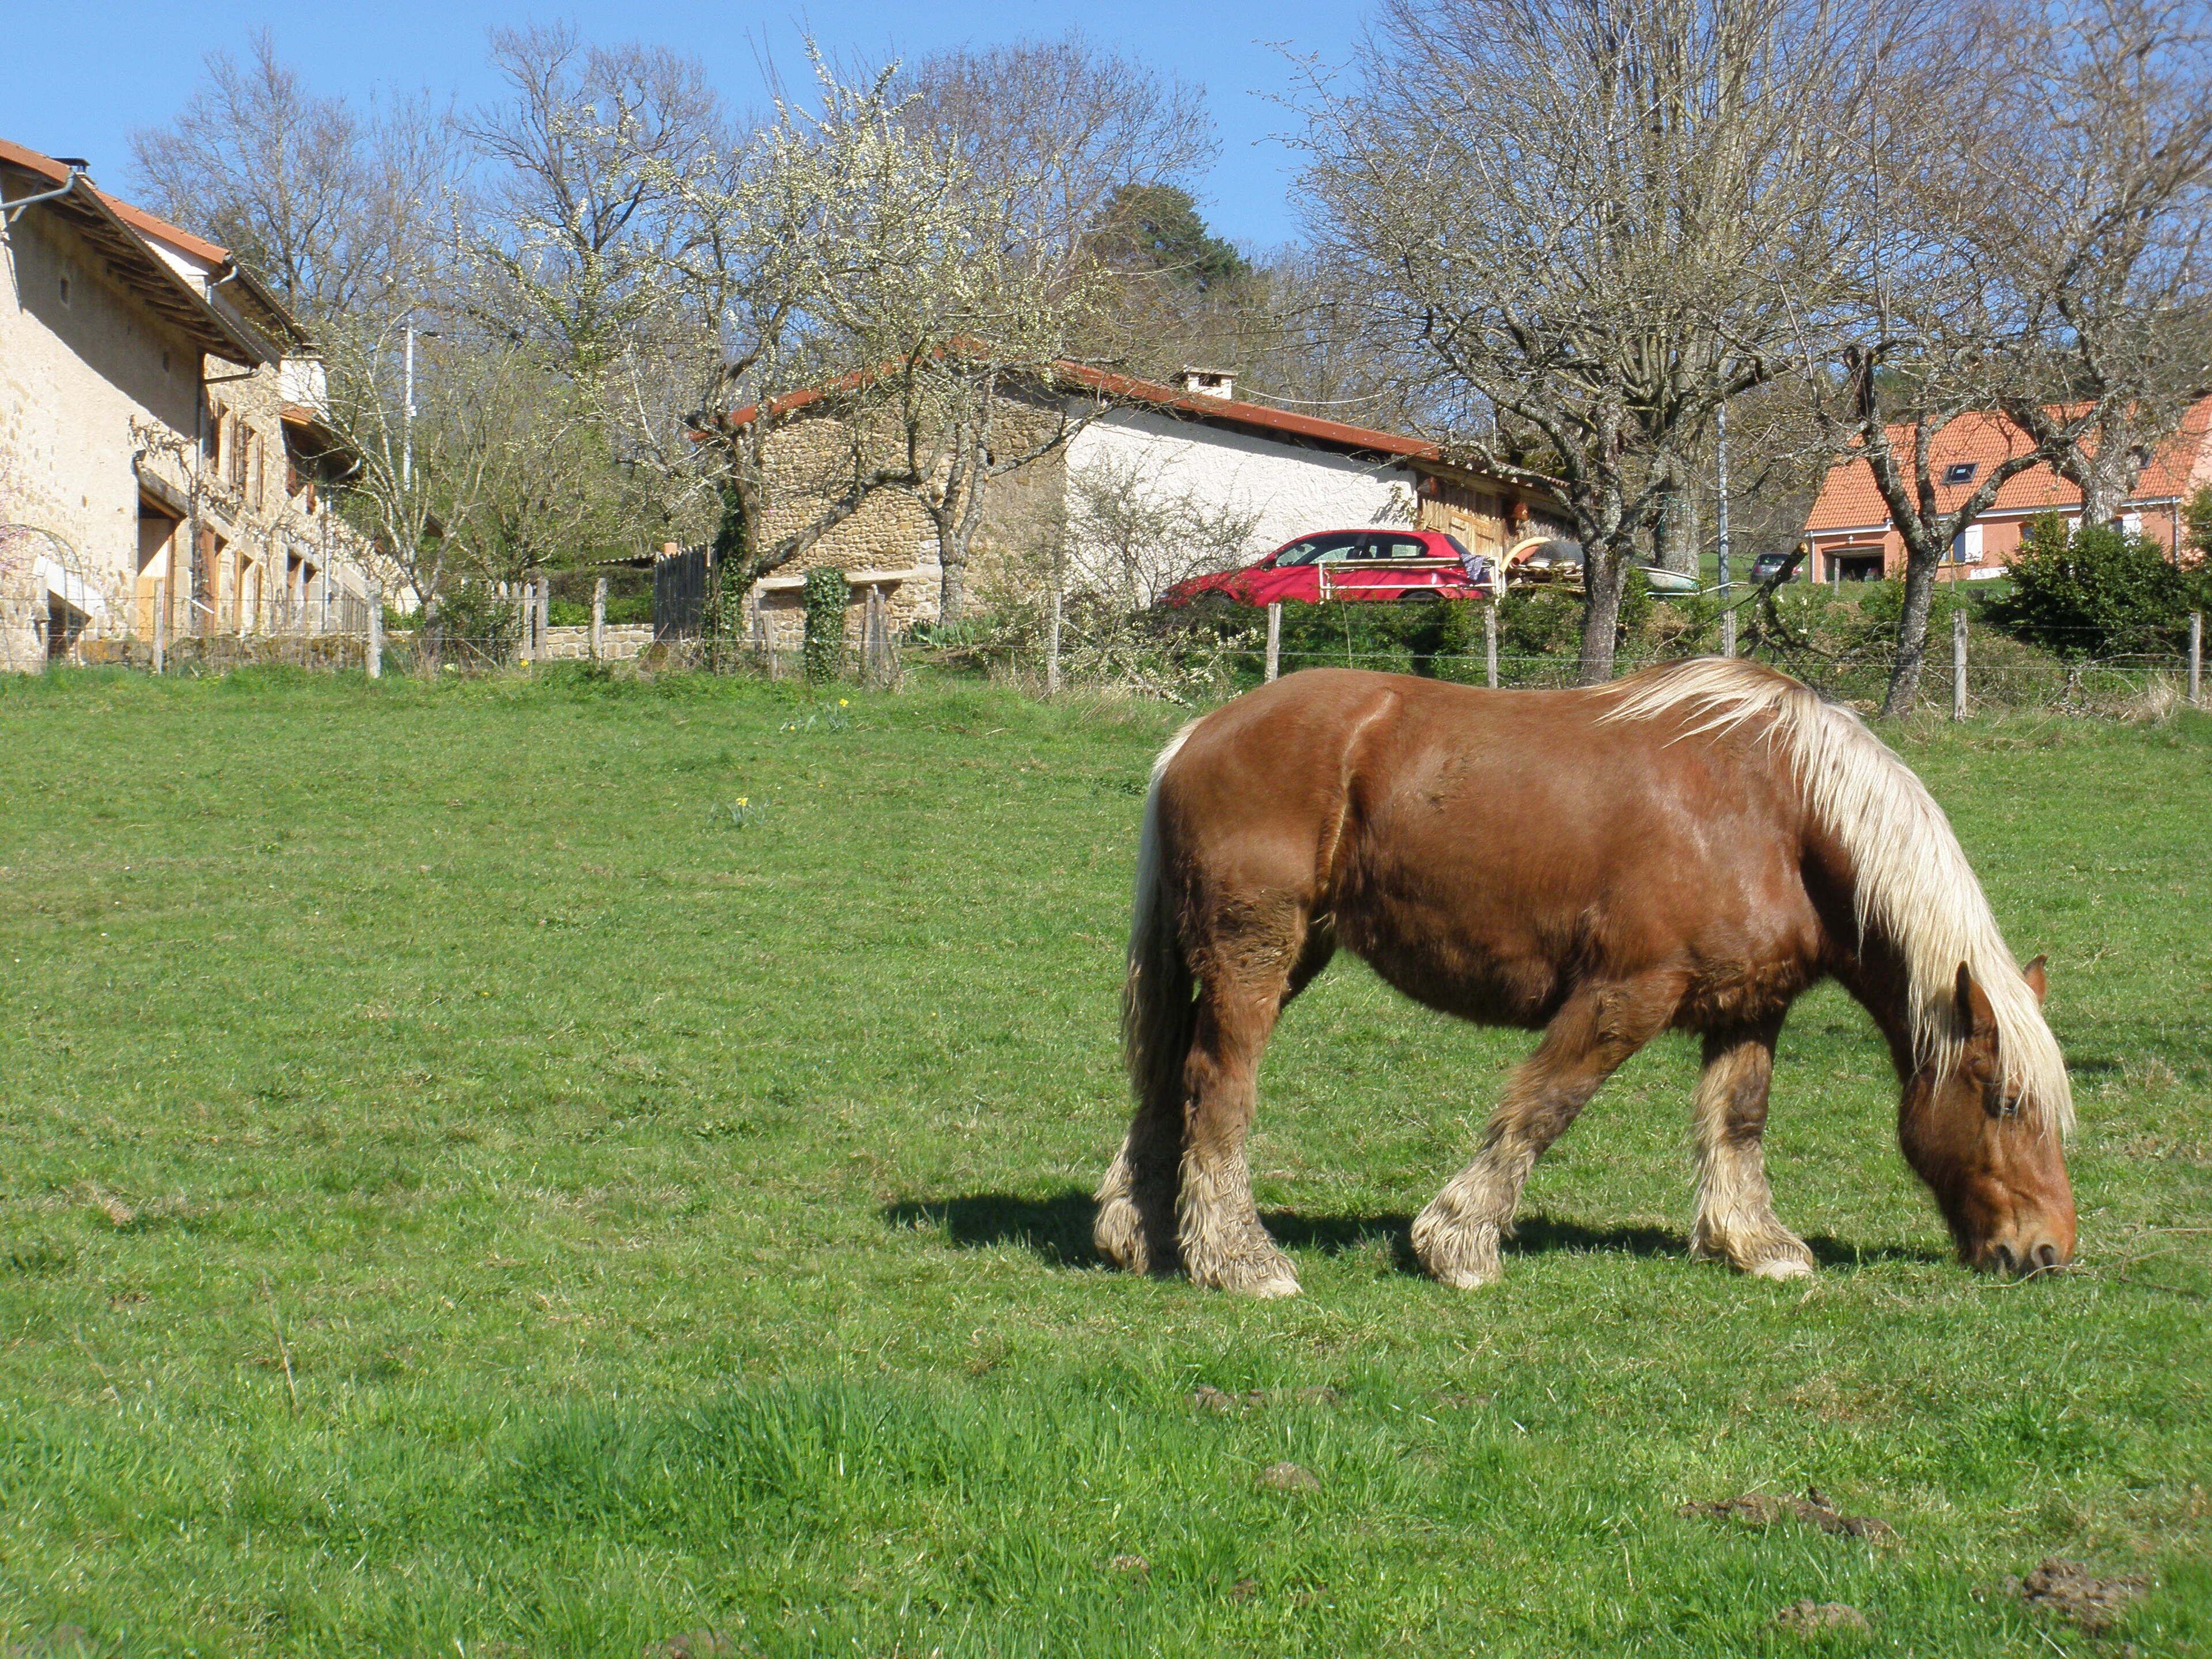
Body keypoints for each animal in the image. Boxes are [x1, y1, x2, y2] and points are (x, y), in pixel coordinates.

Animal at [1095, 658, 2075, 1298]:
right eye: (2005, 1102)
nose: (2048, 1252)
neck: (1780, 811)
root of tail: (1197, 736)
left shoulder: (1749, 1006)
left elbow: (1739, 1121)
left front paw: (1755, 1245)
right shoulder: (1624, 995)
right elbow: (1545, 1107)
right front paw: (1459, 1245)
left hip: (1274, 956)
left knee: (1172, 1078)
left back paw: (1140, 1233)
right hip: (1253, 955)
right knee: (1220, 1085)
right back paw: (1240, 1260)